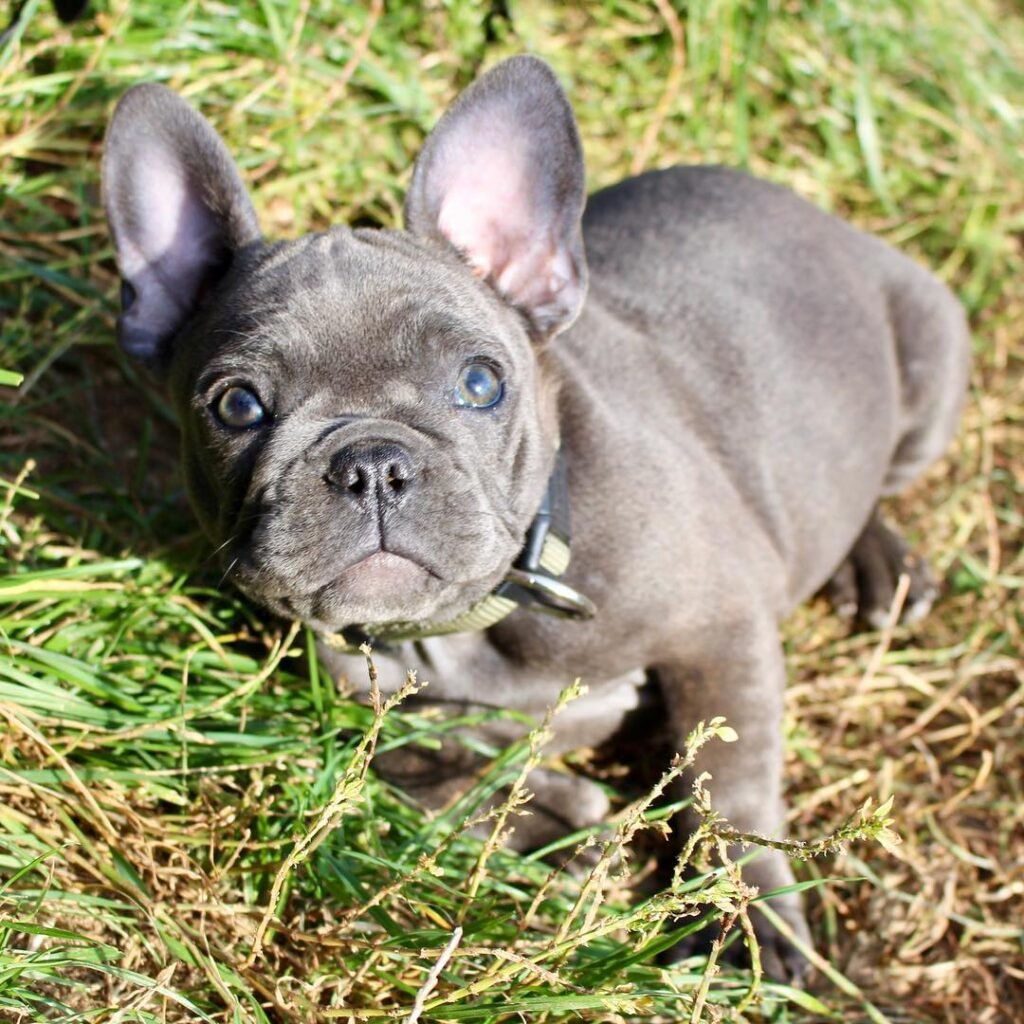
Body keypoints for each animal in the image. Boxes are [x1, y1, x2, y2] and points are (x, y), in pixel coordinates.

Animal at [101, 54, 966, 974]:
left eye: (481, 383)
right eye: (236, 406)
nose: (372, 463)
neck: (471, 620)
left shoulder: (721, 632)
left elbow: (728, 784)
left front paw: (745, 922)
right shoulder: (351, 689)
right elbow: (423, 759)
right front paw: (546, 816)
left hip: (931, 363)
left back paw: (880, 563)